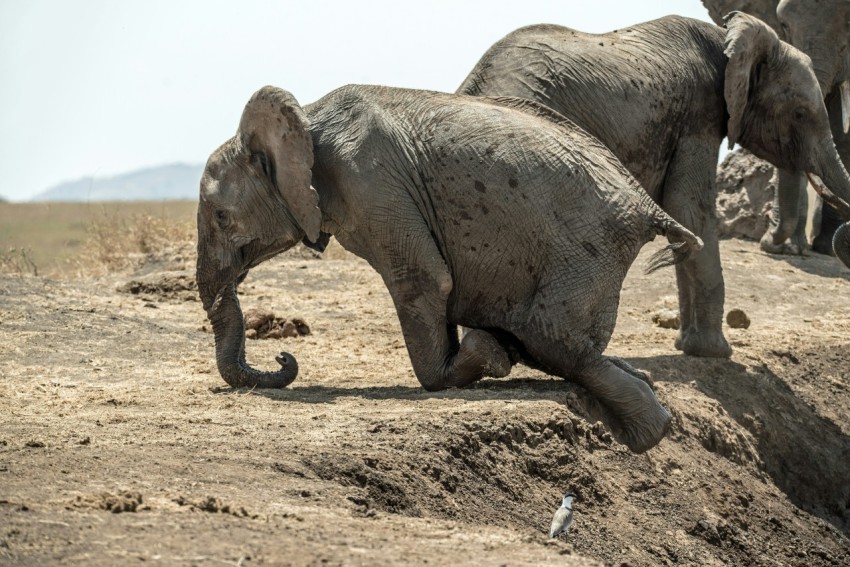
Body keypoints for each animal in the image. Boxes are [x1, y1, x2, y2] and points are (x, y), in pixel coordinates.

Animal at [197, 85, 704, 452]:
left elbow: (422, 280)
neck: (307, 118)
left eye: (220, 216)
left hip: (587, 247)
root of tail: (644, 203)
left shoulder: (373, 184)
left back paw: (650, 429)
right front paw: (489, 353)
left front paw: (480, 358)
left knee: (552, 339)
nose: (283, 357)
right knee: (557, 346)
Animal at [460, 10, 848, 360]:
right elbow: (689, 208)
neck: (729, 37)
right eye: (800, 114)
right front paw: (715, 353)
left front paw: (687, 347)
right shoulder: (699, 117)